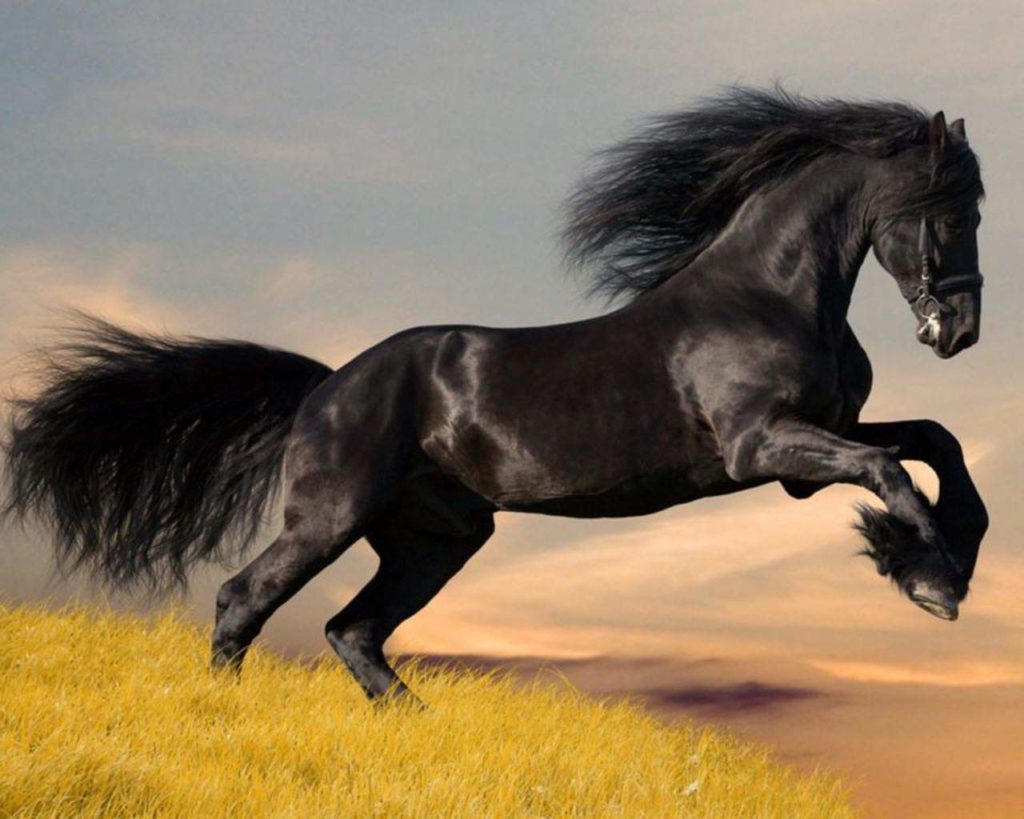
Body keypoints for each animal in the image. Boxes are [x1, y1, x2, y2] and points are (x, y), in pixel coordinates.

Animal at [3, 88, 988, 703]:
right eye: (949, 209)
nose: (961, 331)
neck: (769, 293)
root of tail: (326, 386)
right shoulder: (763, 448)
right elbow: (890, 470)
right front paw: (928, 577)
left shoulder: (812, 446)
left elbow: (934, 441)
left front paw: (945, 556)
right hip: (330, 516)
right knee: (245, 599)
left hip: (438, 537)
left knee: (353, 629)